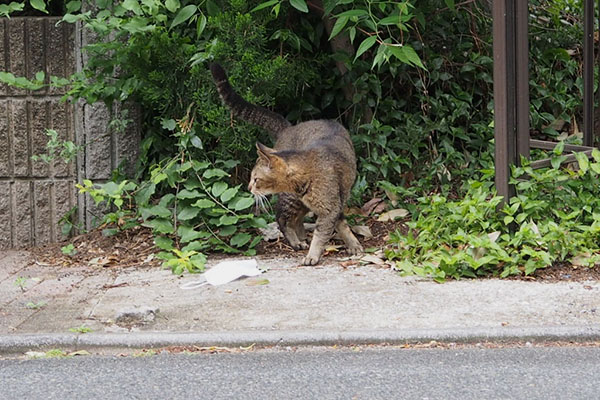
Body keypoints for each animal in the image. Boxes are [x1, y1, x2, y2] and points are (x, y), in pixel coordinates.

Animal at [211, 63, 360, 266]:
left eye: (256, 179)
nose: (249, 188)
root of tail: (289, 128)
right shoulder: (330, 207)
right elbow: (323, 233)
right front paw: (313, 255)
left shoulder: (333, 206)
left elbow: (335, 227)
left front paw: (352, 245)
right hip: (291, 200)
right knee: (282, 219)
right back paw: (296, 242)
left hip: (299, 202)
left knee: (294, 219)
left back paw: (301, 238)